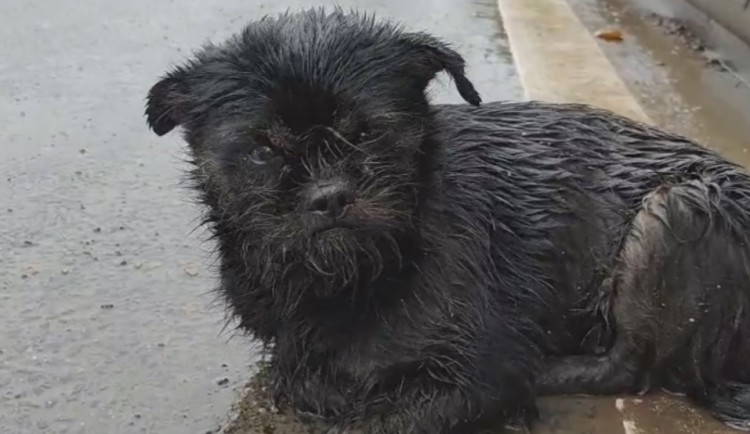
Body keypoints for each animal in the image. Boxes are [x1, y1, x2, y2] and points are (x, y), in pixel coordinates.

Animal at [145, 7, 750, 434]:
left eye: (368, 133)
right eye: (263, 151)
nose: (329, 195)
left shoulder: (478, 375)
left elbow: (378, 418)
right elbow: (299, 378)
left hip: (681, 209)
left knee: (629, 366)